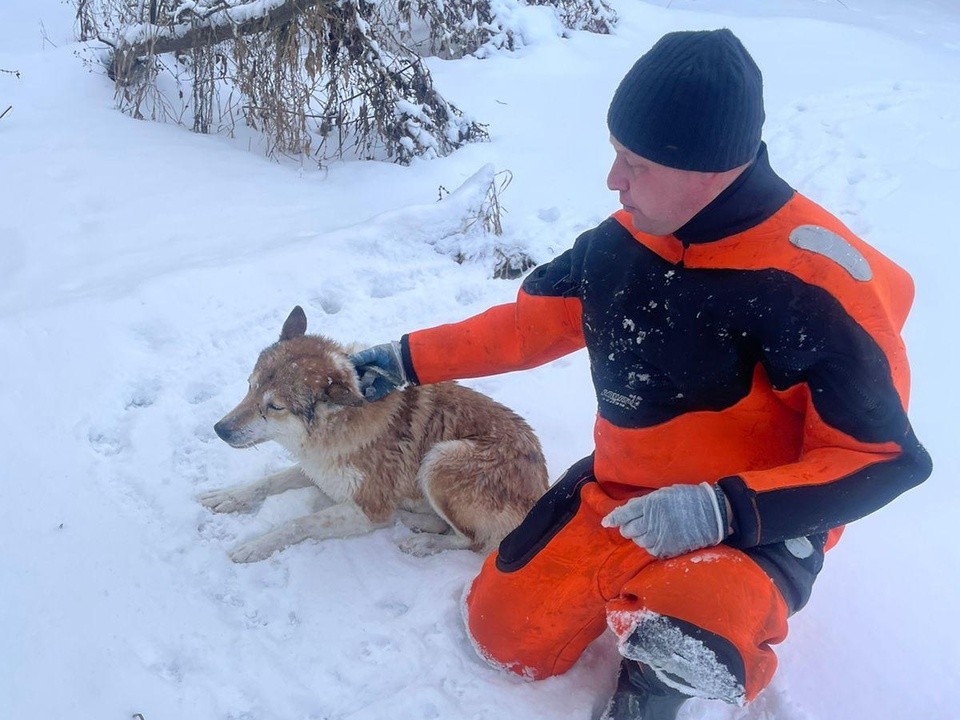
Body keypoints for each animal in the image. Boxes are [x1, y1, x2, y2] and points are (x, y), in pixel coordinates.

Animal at [201, 304, 548, 564]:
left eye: (274, 407)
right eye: (250, 386)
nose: (219, 430)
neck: (334, 429)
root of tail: (541, 491)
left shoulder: (369, 508)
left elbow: (301, 522)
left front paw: (257, 545)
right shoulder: (319, 471)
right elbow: (268, 481)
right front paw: (228, 496)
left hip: (441, 458)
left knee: (473, 541)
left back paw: (422, 541)